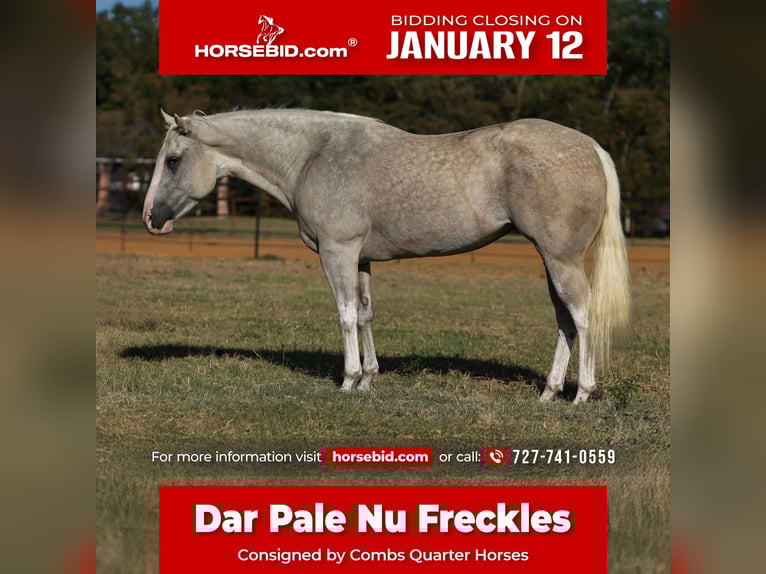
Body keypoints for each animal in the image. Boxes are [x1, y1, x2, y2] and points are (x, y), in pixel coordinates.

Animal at [142, 109, 631, 404]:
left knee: (582, 315)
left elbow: (344, 315)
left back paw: (582, 392)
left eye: (172, 160)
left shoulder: (337, 252)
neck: (312, 155)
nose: (151, 218)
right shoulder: (360, 260)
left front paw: (347, 380)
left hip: (561, 259)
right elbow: (364, 314)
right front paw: (368, 378)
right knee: (565, 320)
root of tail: (590, 145)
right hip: (551, 261)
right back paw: (549, 391)